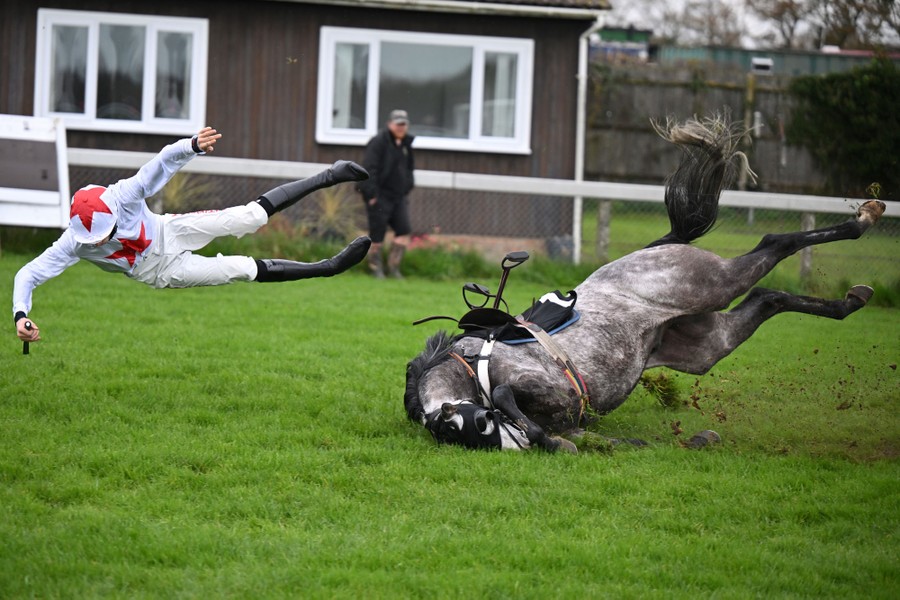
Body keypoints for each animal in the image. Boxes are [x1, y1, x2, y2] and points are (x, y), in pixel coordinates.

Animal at [404, 115, 887, 452]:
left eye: (480, 426)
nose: (517, 441)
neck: (471, 371)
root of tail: (655, 247)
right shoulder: (571, 423)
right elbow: (570, 437)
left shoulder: (534, 386)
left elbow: (512, 397)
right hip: (705, 346)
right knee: (768, 297)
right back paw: (850, 300)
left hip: (711, 282)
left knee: (775, 243)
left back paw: (864, 218)